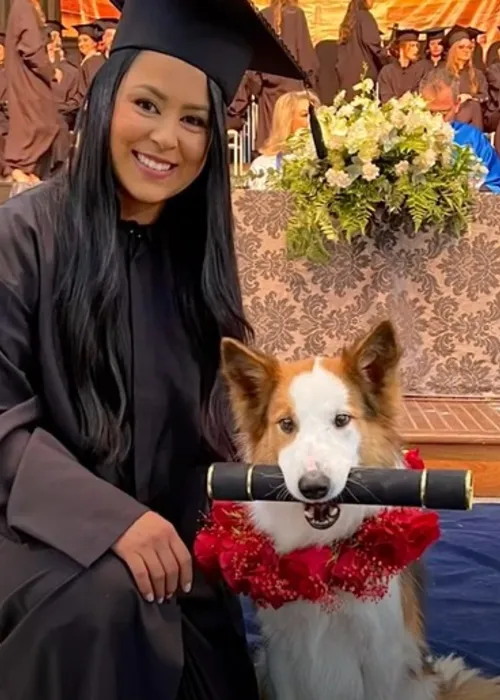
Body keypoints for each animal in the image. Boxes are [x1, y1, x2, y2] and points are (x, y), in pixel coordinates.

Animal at [221, 322, 500, 700]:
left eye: (341, 420)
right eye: (287, 425)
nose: (313, 487)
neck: (325, 552)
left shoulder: (380, 656)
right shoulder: (281, 652)